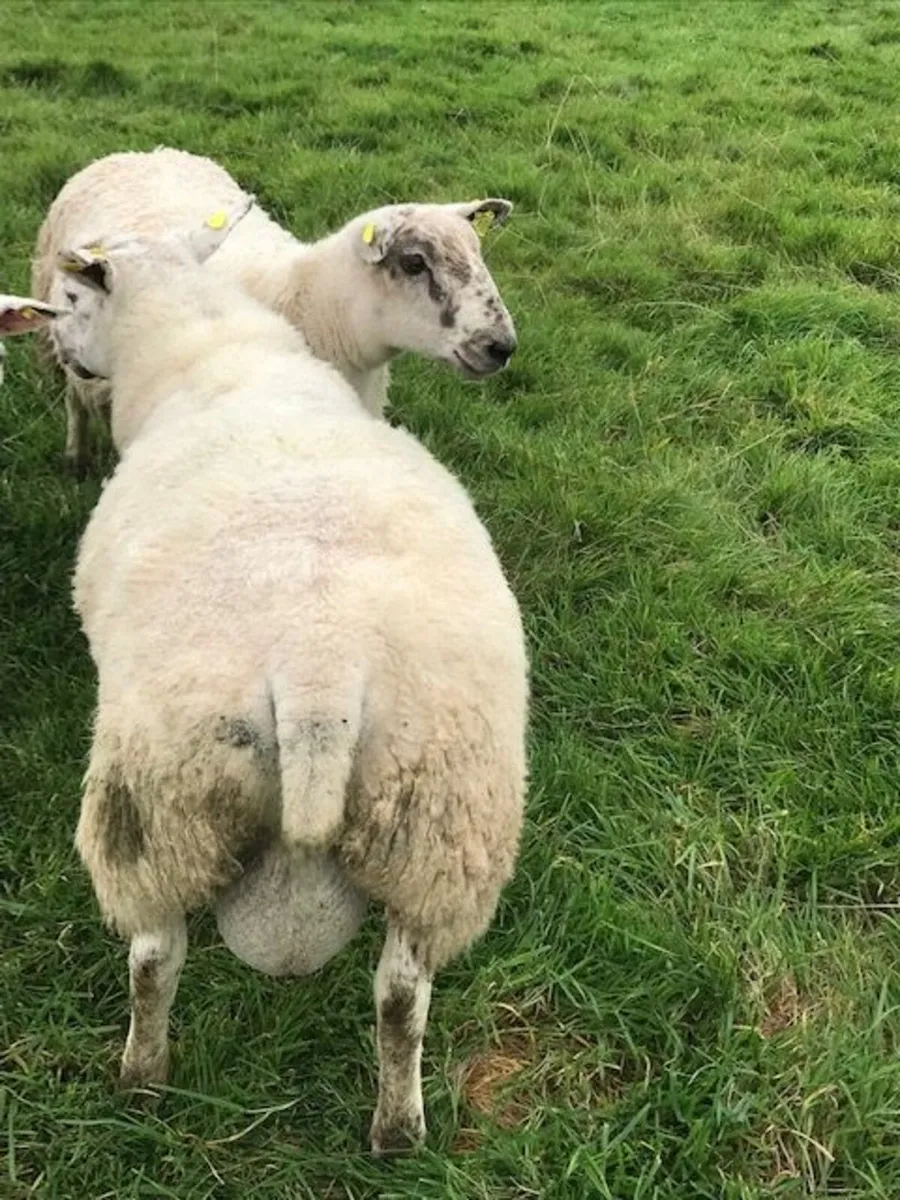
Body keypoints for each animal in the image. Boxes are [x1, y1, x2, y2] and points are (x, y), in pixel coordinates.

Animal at [33, 146, 518, 476]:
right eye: (415, 263)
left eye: (478, 252)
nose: (502, 346)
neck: (315, 306)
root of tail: (137, 152)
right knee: (75, 399)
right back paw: (76, 457)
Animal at [54, 204, 528, 1153]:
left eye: (79, 296)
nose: (62, 355)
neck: (208, 353)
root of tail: (320, 675)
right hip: (443, 828)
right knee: (402, 995)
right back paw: (398, 1129)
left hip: (155, 805)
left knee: (154, 959)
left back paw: (142, 1080)